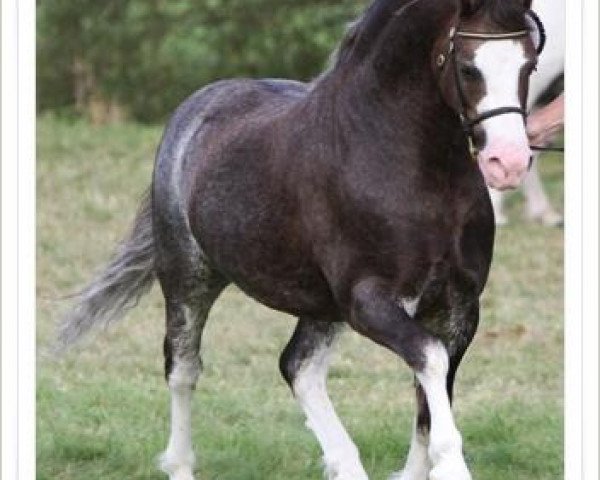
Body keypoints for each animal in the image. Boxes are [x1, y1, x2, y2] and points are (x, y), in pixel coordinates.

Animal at [59, 0, 544, 480]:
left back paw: (343, 464)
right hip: (188, 276)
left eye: (529, 64)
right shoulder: (369, 300)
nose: (508, 162)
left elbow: (430, 390)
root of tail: (196, 109)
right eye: (467, 68)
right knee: (183, 368)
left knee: (298, 367)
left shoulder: (460, 306)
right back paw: (180, 465)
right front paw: (450, 464)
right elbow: (430, 359)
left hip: (321, 307)